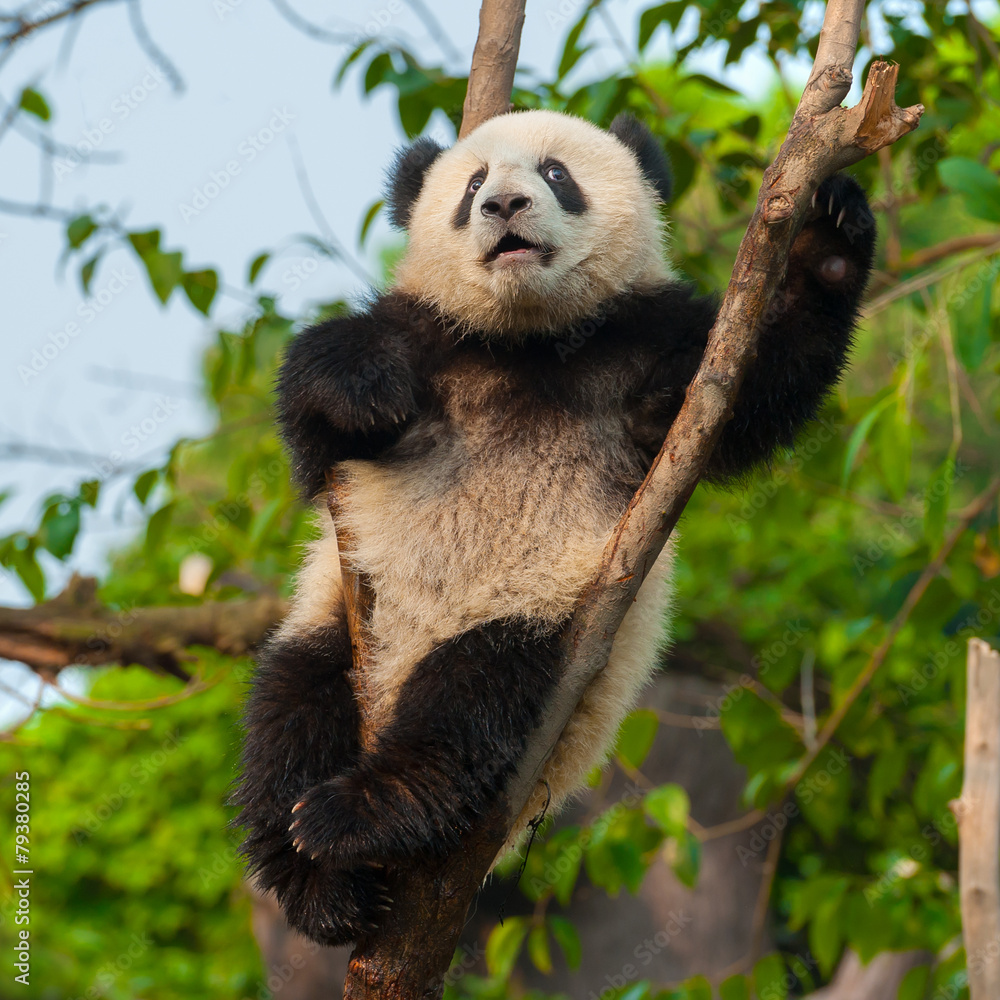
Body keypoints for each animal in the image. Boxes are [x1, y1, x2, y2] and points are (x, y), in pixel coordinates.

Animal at [235, 108, 875, 946]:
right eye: (472, 183)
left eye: (556, 174)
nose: (503, 205)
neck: (528, 338)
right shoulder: (429, 336)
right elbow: (317, 423)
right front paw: (362, 383)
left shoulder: (657, 351)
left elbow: (759, 385)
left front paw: (829, 240)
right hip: (339, 620)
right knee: (291, 710)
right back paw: (321, 883)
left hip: (541, 626)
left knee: (471, 704)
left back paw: (366, 811)